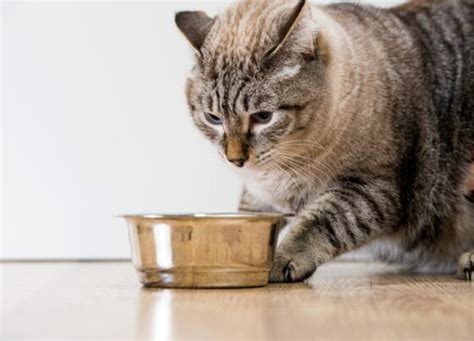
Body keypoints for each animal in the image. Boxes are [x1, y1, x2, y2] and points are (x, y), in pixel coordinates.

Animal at [175, 0, 474, 282]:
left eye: (263, 117)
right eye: (213, 118)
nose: (235, 159)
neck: (287, 165)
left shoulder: (372, 189)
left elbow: (318, 223)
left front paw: (279, 259)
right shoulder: (260, 195)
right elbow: (246, 218)